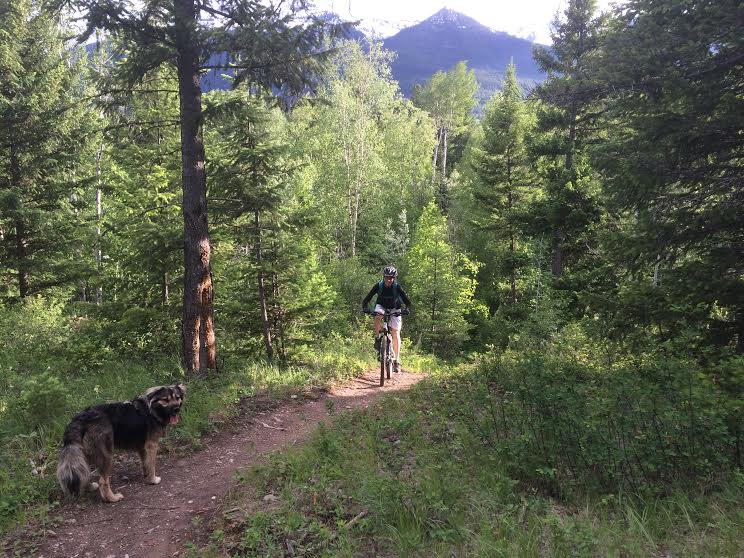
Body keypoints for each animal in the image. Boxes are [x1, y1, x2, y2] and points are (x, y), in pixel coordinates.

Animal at [57, 384, 186, 504]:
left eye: (177, 398)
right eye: (165, 400)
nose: (176, 409)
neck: (152, 410)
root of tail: (81, 419)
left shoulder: (142, 446)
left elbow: (146, 463)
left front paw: (147, 476)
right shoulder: (152, 445)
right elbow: (152, 464)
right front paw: (153, 479)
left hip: (86, 453)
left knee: (85, 472)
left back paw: (90, 487)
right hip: (106, 455)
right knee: (103, 481)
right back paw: (112, 498)